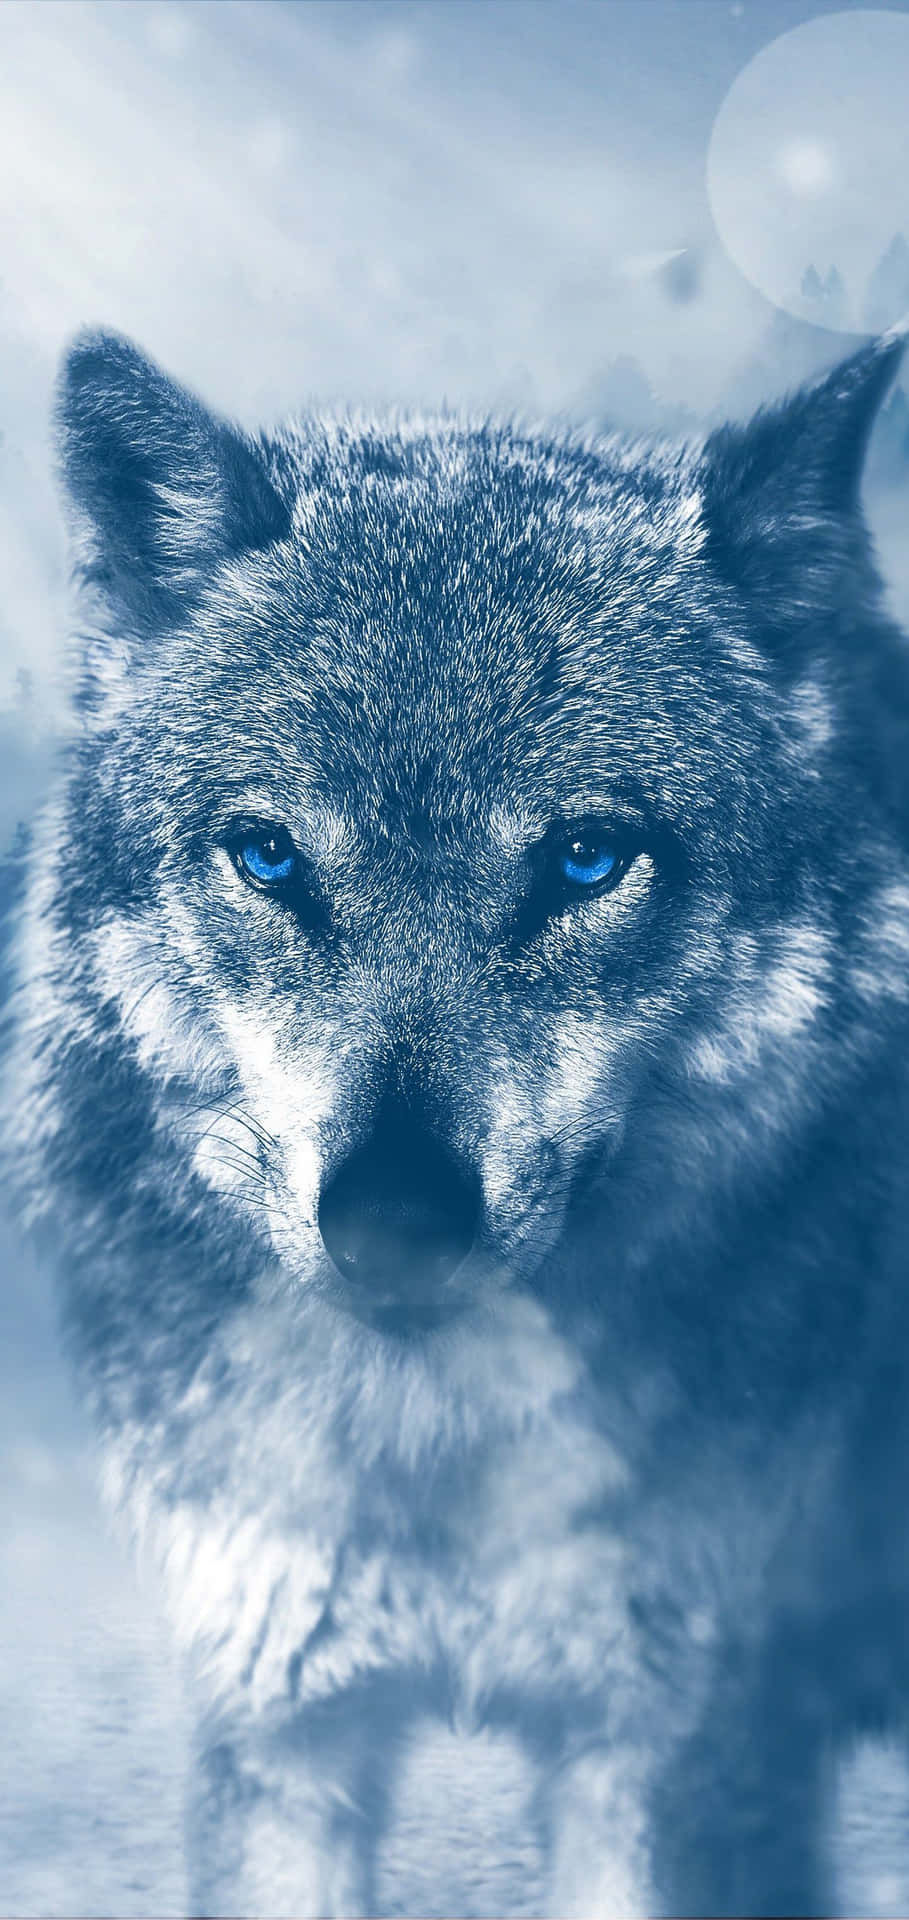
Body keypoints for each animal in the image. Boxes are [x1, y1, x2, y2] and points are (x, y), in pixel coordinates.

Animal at [5, 323, 909, 1918]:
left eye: (588, 858)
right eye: (268, 856)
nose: (396, 1220)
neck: (433, 1458)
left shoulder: (673, 1752)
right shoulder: (280, 1726)